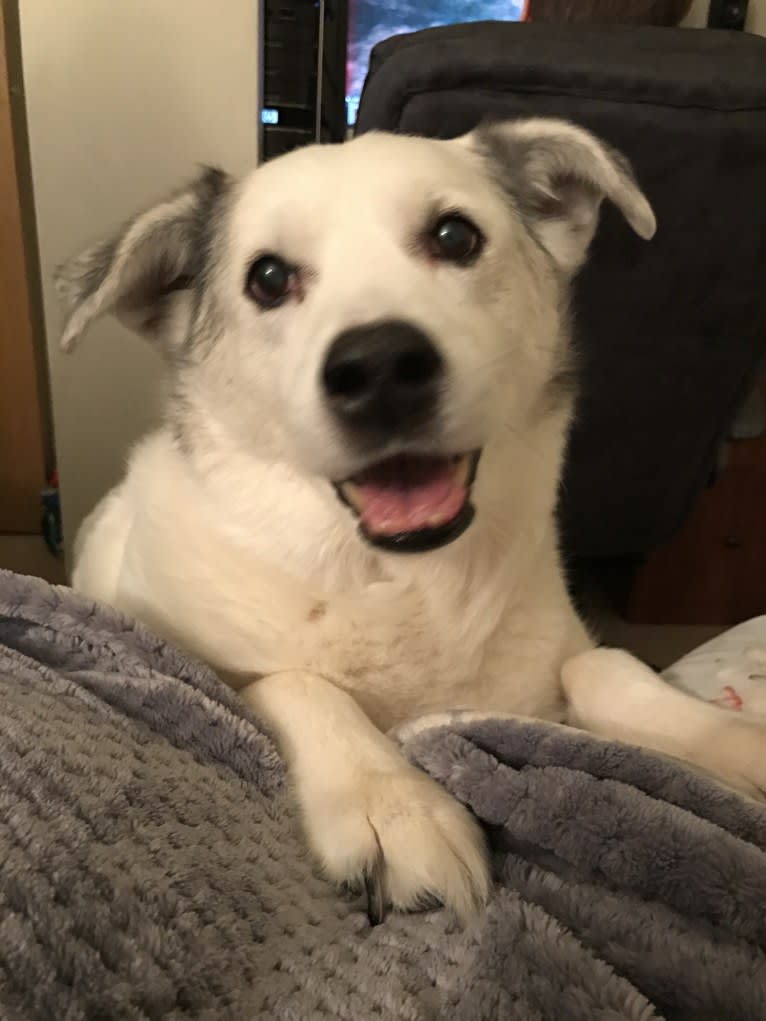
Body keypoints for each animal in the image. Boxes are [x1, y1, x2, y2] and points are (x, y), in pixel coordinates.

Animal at [56, 119, 766, 927]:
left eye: (455, 236)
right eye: (267, 278)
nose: (379, 368)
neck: (403, 581)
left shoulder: (555, 660)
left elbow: (602, 664)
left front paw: (730, 742)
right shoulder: (196, 656)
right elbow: (294, 682)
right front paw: (392, 802)